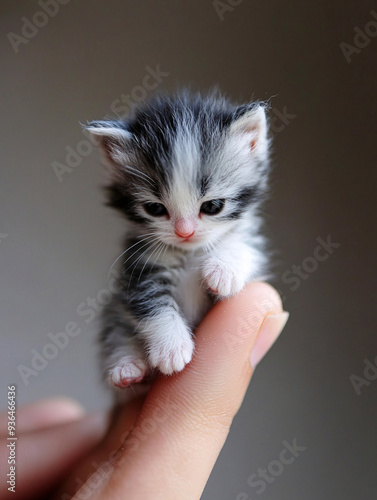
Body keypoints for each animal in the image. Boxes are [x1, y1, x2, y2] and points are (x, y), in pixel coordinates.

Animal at [86, 92, 270, 388]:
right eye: (155, 208)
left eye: (212, 206)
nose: (185, 231)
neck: (188, 253)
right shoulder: (140, 270)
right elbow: (151, 304)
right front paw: (171, 348)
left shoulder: (252, 253)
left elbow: (243, 249)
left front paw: (224, 270)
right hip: (114, 312)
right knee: (116, 331)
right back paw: (127, 368)